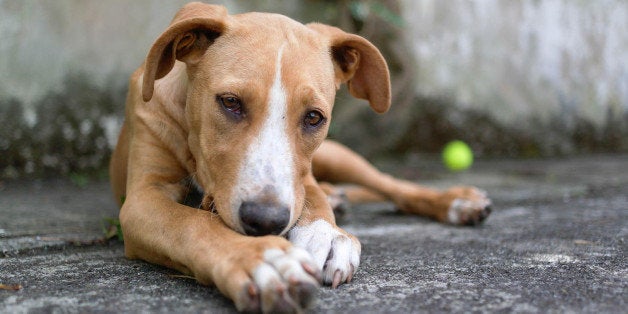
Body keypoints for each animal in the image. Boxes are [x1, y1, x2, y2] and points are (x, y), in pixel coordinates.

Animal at [108, 2, 490, 312]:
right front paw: (262, 259)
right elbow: (191, 222)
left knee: (390, 185)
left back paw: (456, 201)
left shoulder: (302, 176)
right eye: (229, 102)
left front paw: (328, 235)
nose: (265, 222)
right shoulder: (142, 200)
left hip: (337, 155)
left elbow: (314, 199)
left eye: (313, 117)